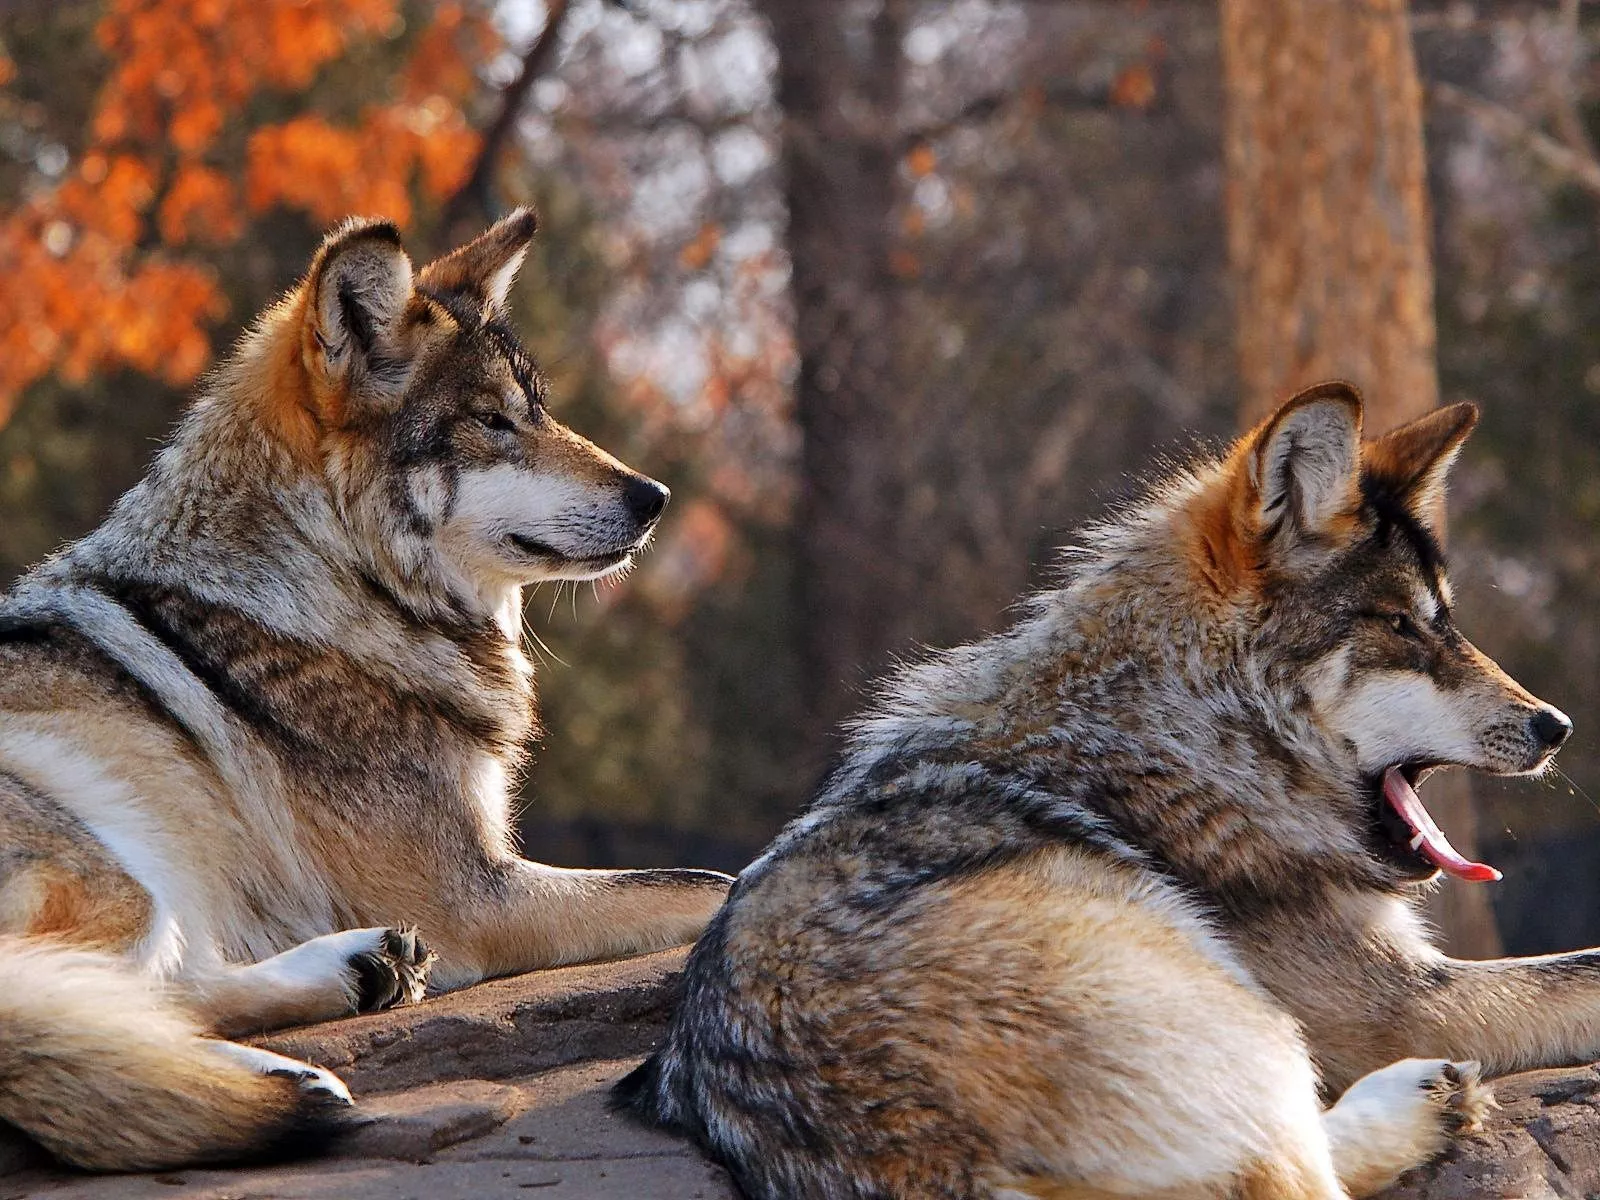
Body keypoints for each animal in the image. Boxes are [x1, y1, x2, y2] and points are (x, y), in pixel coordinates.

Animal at [0, 210, 730, 1172]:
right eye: (493, 422)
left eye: (540, 411)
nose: (656, 497)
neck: (336, 586)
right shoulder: (475, 898)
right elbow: (712, 883)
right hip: (115, 870)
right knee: (78, 1007)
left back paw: (347, 989)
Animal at [616, 383, 1584, 1200]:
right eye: (1402, 626)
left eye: (1446, 622)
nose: (1556, 726)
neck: (1179, 731)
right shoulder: (1407, 1002)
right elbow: (1584, 969)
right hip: (1254, 1023)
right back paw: (1423, 1102)